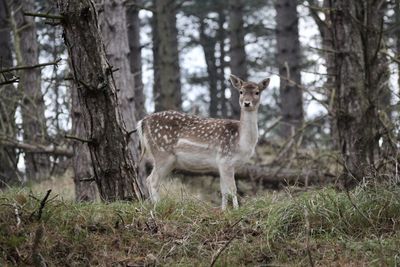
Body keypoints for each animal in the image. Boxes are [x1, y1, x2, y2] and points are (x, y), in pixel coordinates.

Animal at [136, 74, 270, 210]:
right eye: (241, 91)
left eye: (257, 92)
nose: (247, 103)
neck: (242, 143)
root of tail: (143, 121)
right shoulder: (225, 159)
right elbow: (233, 189)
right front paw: (236, 210)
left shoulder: (223, 164)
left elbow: (223, 190)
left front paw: (224, 210)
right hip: (162, 153)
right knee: (152, 180)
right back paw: (158, 206)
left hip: (168, 160)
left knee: (150, 179)